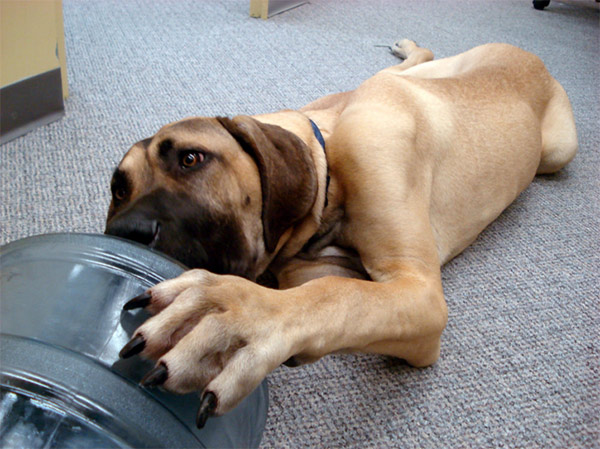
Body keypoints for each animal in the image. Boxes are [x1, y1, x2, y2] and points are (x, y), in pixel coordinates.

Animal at [106, 39, 576, 428]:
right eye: (118, 188)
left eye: (191, 159)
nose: (123, 232)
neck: (329, 155)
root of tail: (531, 56)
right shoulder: (311, 269)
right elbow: (333, 293)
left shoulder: (418, 291)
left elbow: (334, 295)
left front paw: (236, 313)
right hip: (434, 73)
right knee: (415, 64)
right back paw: (408, 48)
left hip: (557, 152)